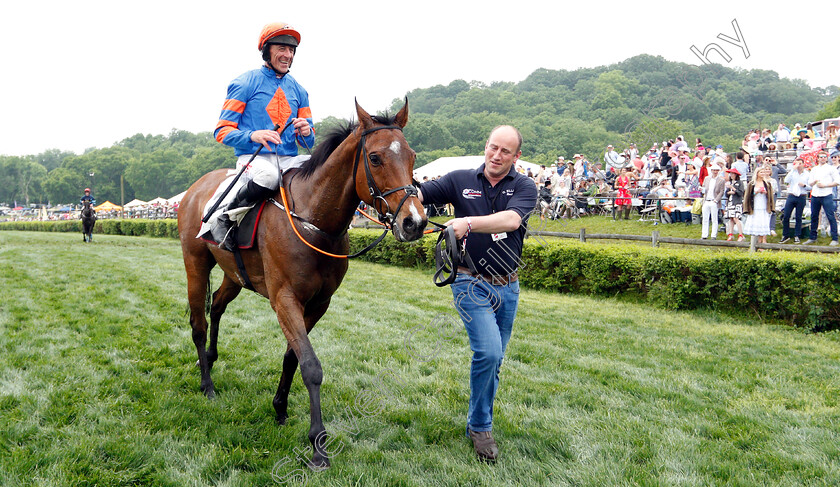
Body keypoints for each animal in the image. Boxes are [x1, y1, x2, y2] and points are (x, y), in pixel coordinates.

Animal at [178, 101, 426, 470]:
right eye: (375, 158)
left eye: (411, 156)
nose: (415, 222)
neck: (313, 222)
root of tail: (197, 187)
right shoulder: (285, 299)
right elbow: (310, 365)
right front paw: (318, 446)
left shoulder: (319, 303)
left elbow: (291, 357)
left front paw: (280, 408)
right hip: (195, 264)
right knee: (198, 323)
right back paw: (207, 384)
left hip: (234, 274)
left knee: (218, 305)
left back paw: (209, 357)